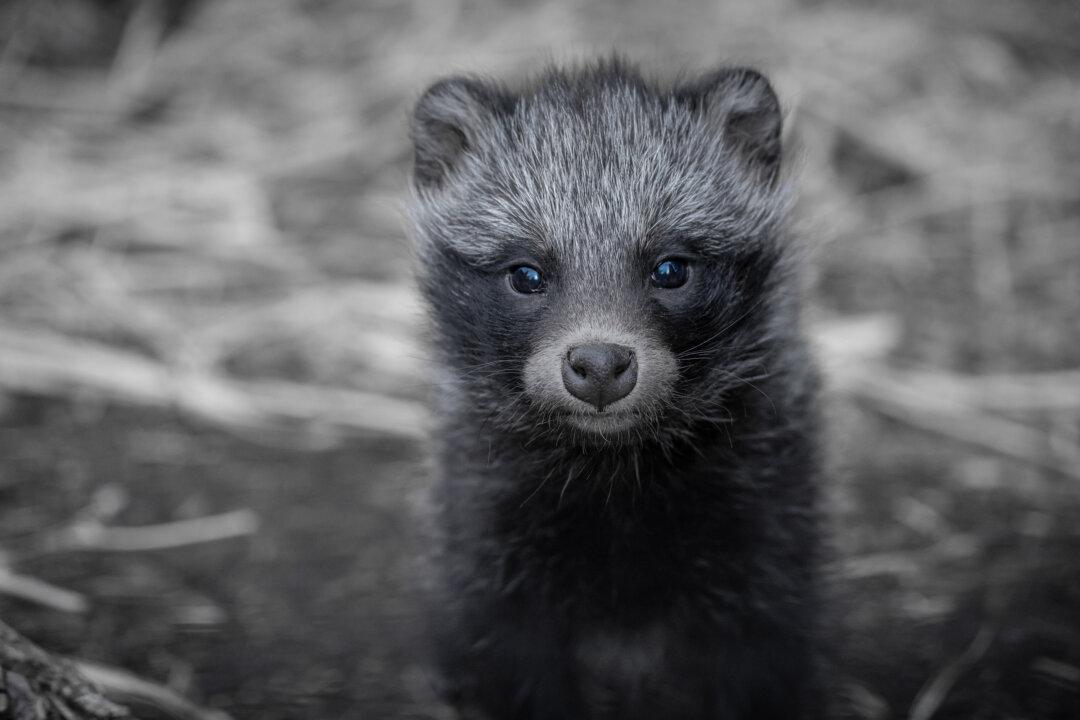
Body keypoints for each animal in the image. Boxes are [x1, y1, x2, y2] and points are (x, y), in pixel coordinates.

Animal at [408, 60, 822, 720]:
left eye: (670, 269)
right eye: (526, 274)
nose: (600, 365)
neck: (614, 469)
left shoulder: (768, 523)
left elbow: (755, 660)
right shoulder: (485, 535)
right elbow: (515, 664)